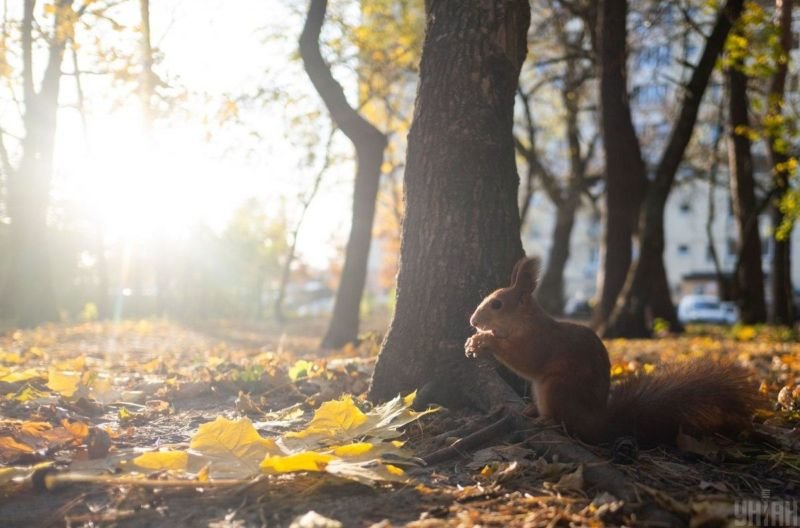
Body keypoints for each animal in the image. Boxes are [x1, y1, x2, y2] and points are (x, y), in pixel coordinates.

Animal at [462, 256, 764, 446]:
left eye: (497, 304)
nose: (473, 321)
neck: (525, 322)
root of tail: (598, 423)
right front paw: (473, 341)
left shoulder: (539, 343)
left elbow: (523, 358)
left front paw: (483, 341)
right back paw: (529, 410)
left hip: (556, 387)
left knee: (561, 420)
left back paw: (543, 421)